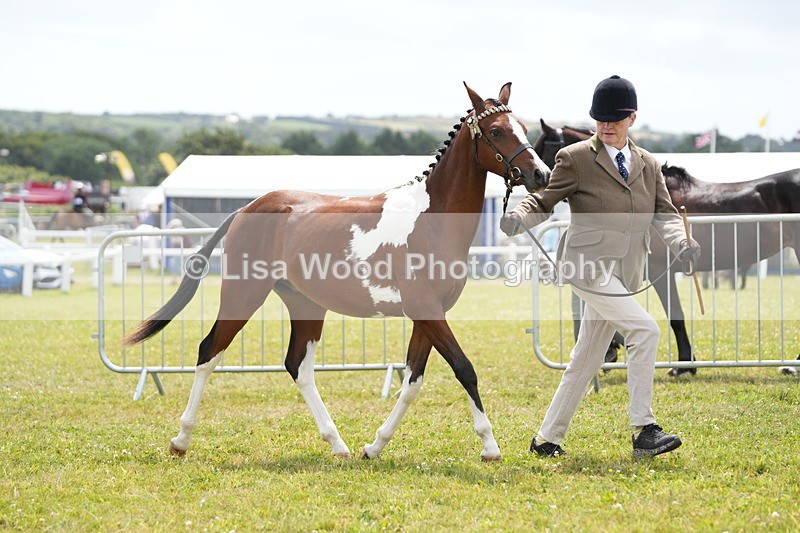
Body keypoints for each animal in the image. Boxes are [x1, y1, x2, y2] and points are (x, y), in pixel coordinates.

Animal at [122, 83, 551, 461]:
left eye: (525, 129)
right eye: (496, 131)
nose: (540, 175)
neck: (431, 218)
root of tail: (245, 209)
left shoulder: (427, 315)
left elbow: (412, 381)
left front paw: (374, 447)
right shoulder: (428, 311)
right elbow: (464, 369)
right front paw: (490, 447)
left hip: (306, 305)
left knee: (297, 366)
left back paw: (338, 444)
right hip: (243, 295)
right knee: (209, 351)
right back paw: (181, 440)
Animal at [533, 120, 800, 375]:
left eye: (544, 152)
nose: (535, 181)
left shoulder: (658, 270)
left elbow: (675, 316)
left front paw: (683, 366)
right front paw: (614, 349)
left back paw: (792, 366)